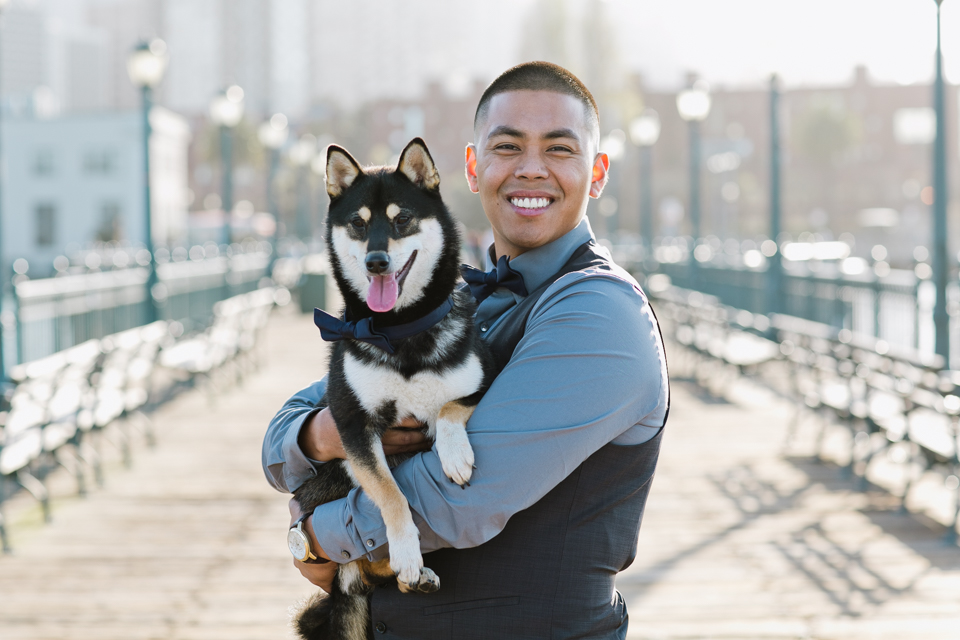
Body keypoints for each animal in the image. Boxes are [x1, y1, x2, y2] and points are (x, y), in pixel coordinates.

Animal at [290, 138, 496, 636]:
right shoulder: (351, 425)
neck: (399, 330)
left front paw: (454, 454)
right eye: (358, 224)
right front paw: (405, 550)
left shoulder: (485, 376)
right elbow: (389, 493)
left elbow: (449, 407)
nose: (377, 261)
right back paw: (407, 569)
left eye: (402, 219)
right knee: (358, 561)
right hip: (332, 477)